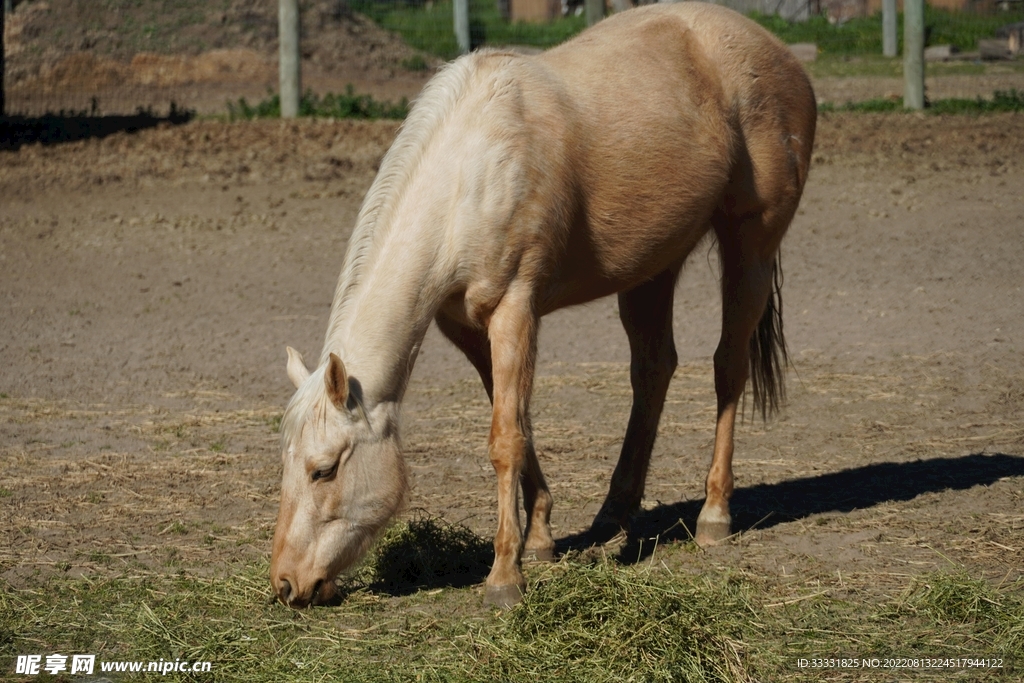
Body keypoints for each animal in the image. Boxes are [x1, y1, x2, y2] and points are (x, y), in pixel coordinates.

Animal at [270, 2, 816, 609]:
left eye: (323, 470)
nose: (286, 583)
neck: (472, 171)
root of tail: (778, 51)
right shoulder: (466, 326)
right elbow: (518, 420)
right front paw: (541, 541)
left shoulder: (515, 308)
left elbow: (505, 439)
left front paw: (505, 577)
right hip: (654, 268)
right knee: (654, 370)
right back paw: (612, 517)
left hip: (752, 246)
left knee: (728, 368)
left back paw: (714, 516)